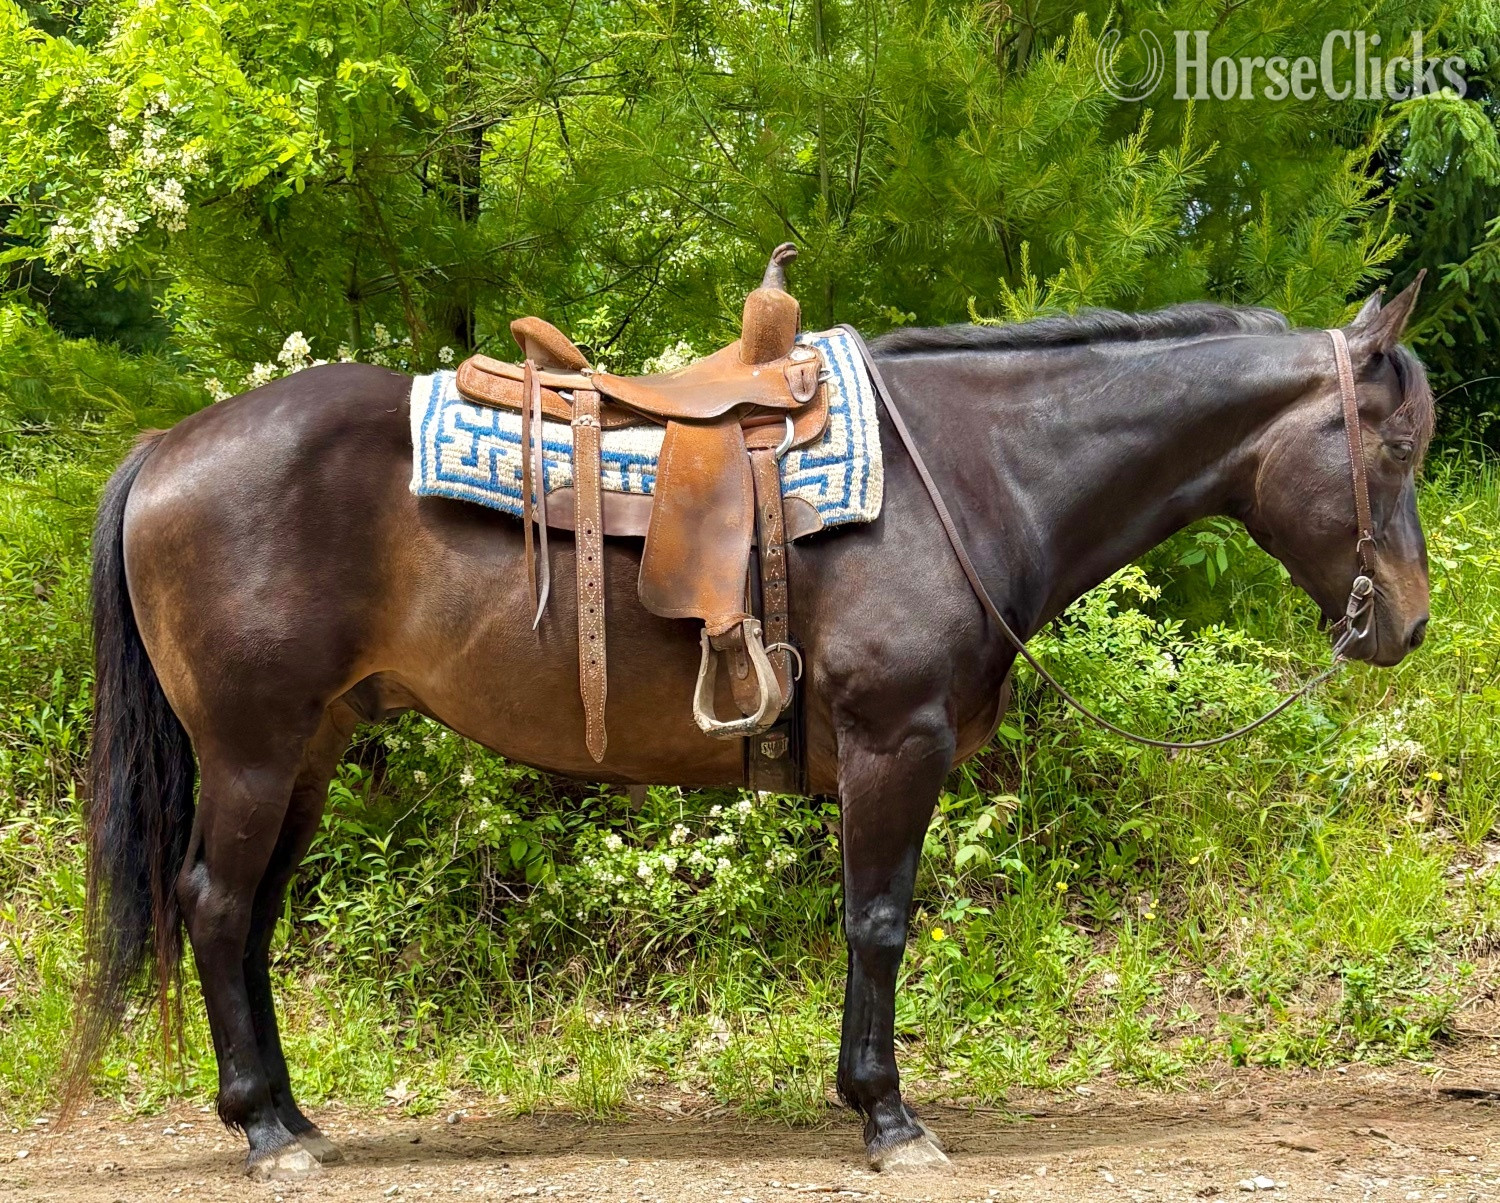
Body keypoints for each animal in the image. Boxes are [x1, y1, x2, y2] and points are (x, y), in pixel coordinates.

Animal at [65, 279, 1433, 1179]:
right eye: (1395, 447)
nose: (1409, 623)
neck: (973, 470)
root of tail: (168, 447)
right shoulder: (896, 742)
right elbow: (879, 922)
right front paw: (887, 1117)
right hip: (252, 748)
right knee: (216, 905)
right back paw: (259, 1129)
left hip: (310, 747)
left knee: (249, 917)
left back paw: (293, 1120)